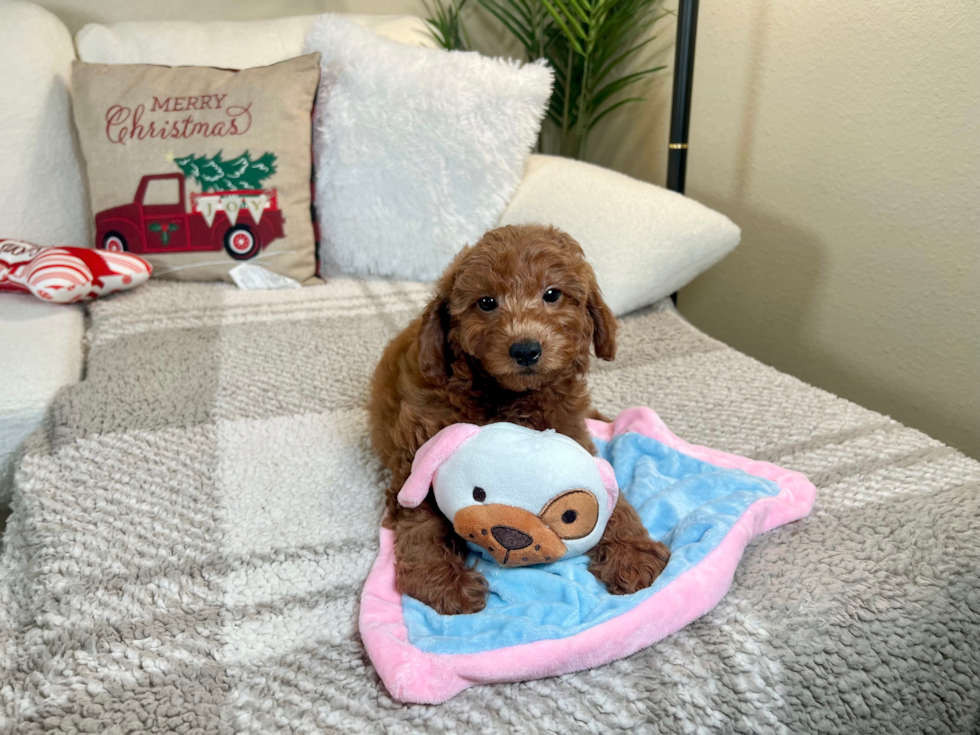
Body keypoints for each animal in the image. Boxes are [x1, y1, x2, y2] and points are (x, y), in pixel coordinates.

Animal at [370, 224, 672, 616]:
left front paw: (632, 553)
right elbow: (422, 520)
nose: (526, 349)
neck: (509, 396)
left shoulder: (574, 438)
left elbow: (613, 498)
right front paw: (443, 581)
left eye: (552, 294)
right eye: (486, 303)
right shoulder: (418, 452)